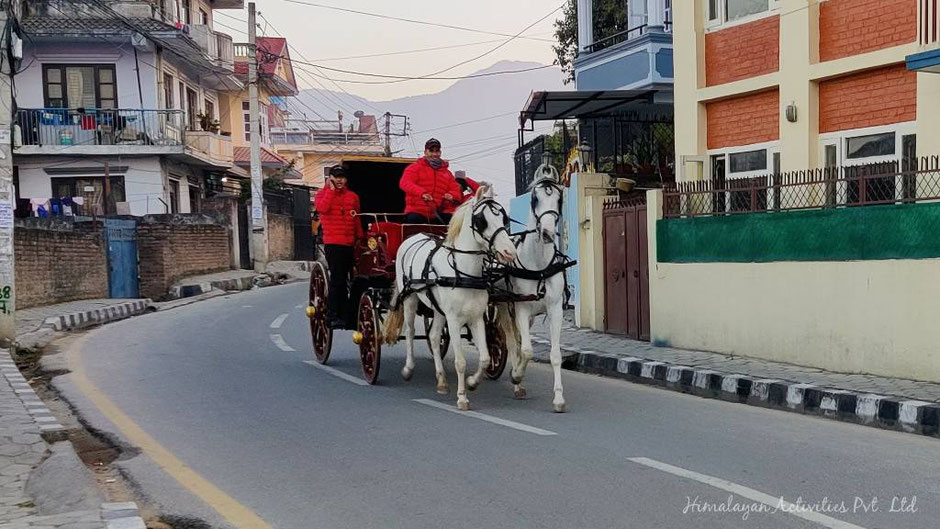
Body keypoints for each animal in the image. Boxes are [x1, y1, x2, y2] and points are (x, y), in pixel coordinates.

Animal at [386, 184, 516, 410]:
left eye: (503, 218)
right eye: (482, 221)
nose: (510, 252)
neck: (463, 272)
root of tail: (412, 237)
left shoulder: (476, 318)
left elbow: (484, 357)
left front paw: (472, 383)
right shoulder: (454, 320)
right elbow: (460, 361)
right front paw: (462, 397)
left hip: (438, 309)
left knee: (433, 336)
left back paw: (441, 380)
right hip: (410, 299)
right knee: (410, 332)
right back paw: (408, 369)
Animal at [496, 161, 568, 412]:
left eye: (559, 198)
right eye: (534, 199)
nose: (547, 233)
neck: (539, 266)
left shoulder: (555, 309)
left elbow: (555, 355)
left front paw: (559, 398)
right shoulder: (521, 308)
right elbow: (526, 350)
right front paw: (516, 376)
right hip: (503, 307)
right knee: (511, 342)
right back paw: (517, 382)